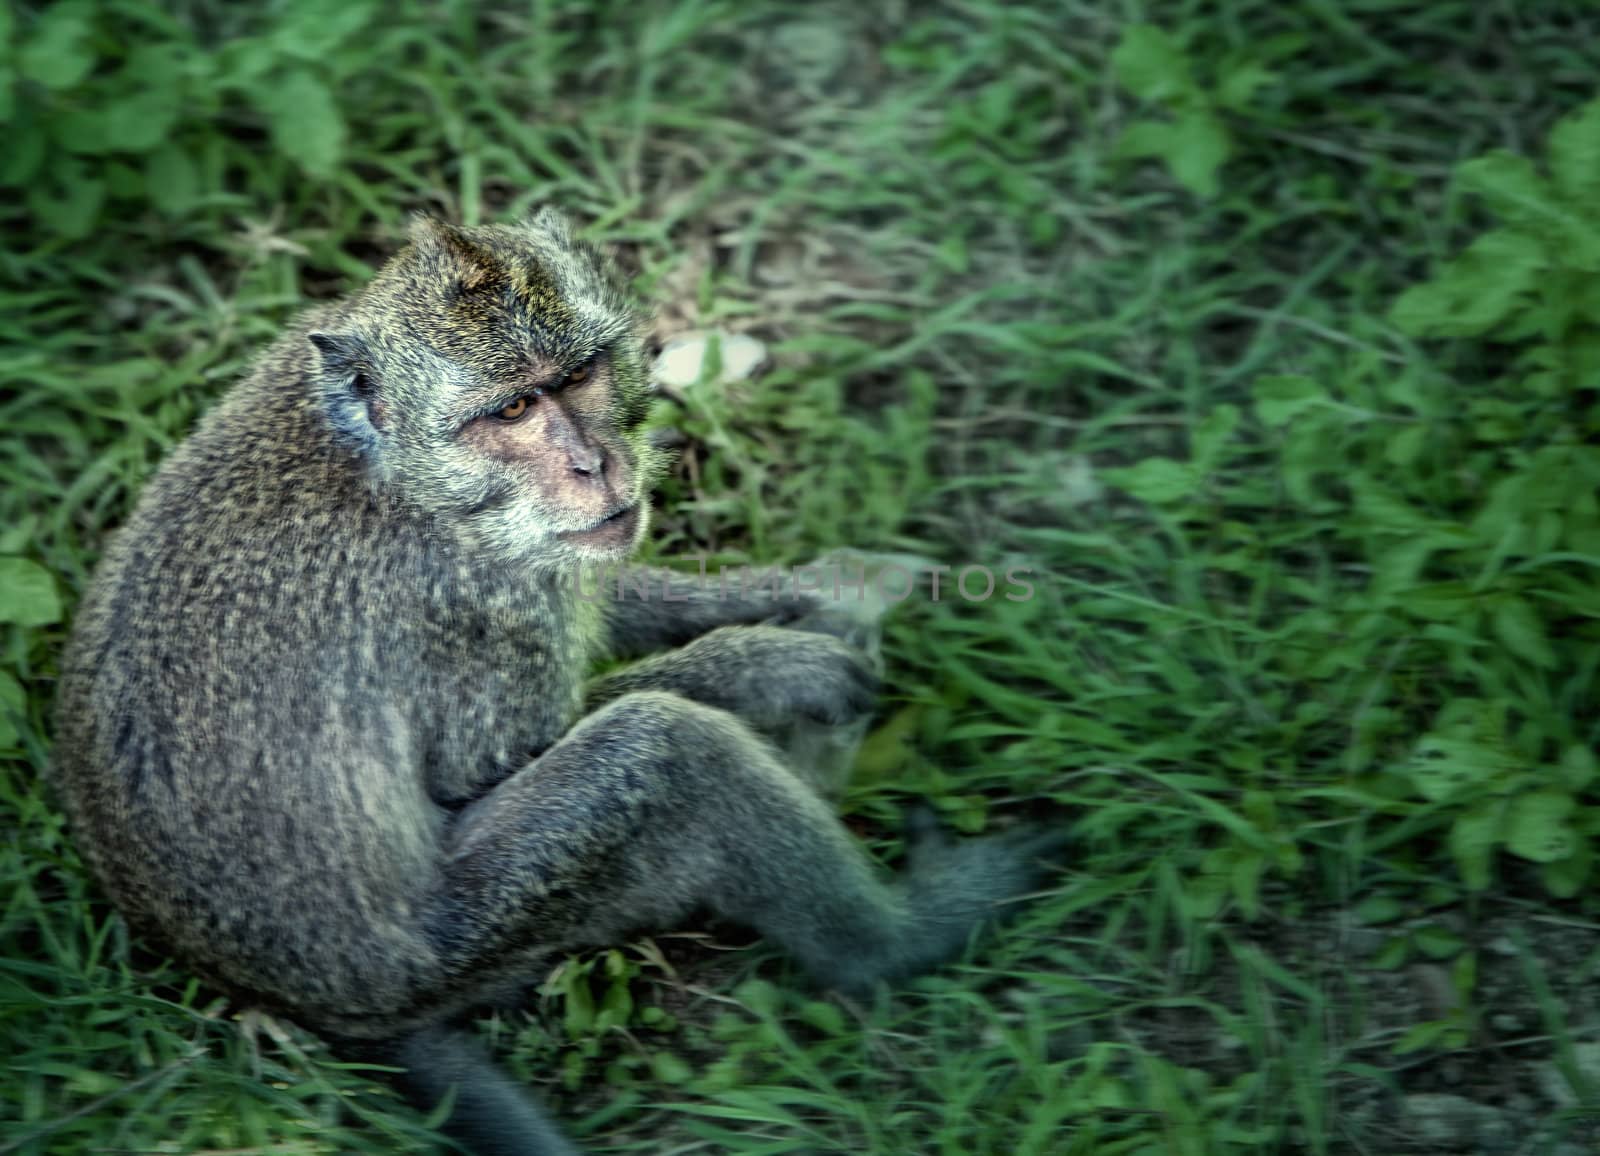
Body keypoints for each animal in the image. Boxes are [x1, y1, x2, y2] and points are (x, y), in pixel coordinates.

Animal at [53, 209, 1062, 1152]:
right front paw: (772, 665)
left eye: (576, 378)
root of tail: (309, 1004)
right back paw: (901, 938)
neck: (396, 471)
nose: (594, 463)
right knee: (659, 751)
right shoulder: (476, 599)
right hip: (477, 936)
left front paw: (799, 590)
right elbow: (493, 766)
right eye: (509, 412)